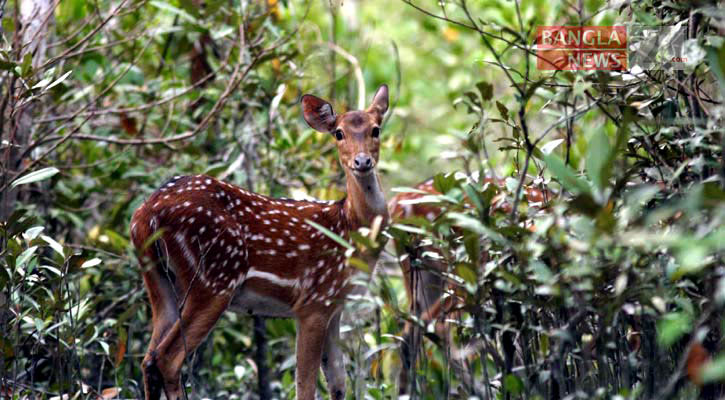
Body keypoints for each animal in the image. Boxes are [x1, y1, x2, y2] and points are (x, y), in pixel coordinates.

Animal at [130, 85, 390, 400]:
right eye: (338, 133)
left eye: (376, 129)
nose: (362, 161)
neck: (349, 229)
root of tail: (145, 214)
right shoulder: (313, 301)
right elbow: (306, 385)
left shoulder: (335, 305)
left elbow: (339, 383)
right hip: (213, 278)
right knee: (167, 358)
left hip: (159, 280)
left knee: (148, 358)